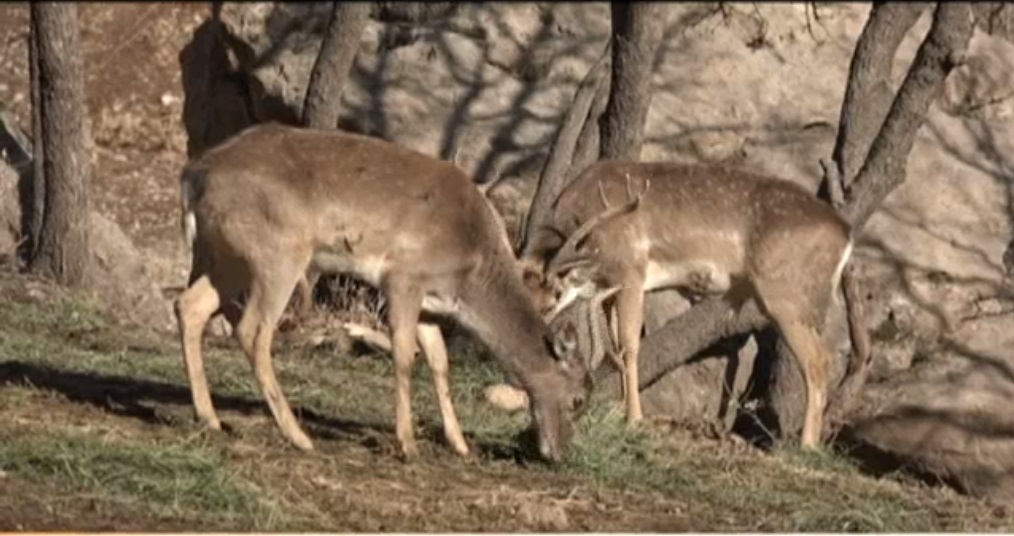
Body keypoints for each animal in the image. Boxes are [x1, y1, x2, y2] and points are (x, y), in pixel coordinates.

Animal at [170, 123, 592, 462]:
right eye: (578, 399)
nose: (559, 453)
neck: (470, 270)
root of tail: (194, 174)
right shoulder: (404, 275)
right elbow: (405, 356)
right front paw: (407, 444)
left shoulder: (431, 303)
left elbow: (440, 362)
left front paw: (459, 444)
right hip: (278, 253)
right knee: (253, 330)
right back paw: (298, 436)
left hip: (229, 256)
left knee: (189, 306)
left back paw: (210, 418)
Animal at [511, 158, 851, 447]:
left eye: (553, 296)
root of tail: (845, 235)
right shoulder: (608, 288)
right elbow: (615, 349)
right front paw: (618, 410)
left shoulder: (631, 271)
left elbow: (630, 345)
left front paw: (634, 419)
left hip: (786, 295)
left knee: (818, 361)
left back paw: (806, 445)